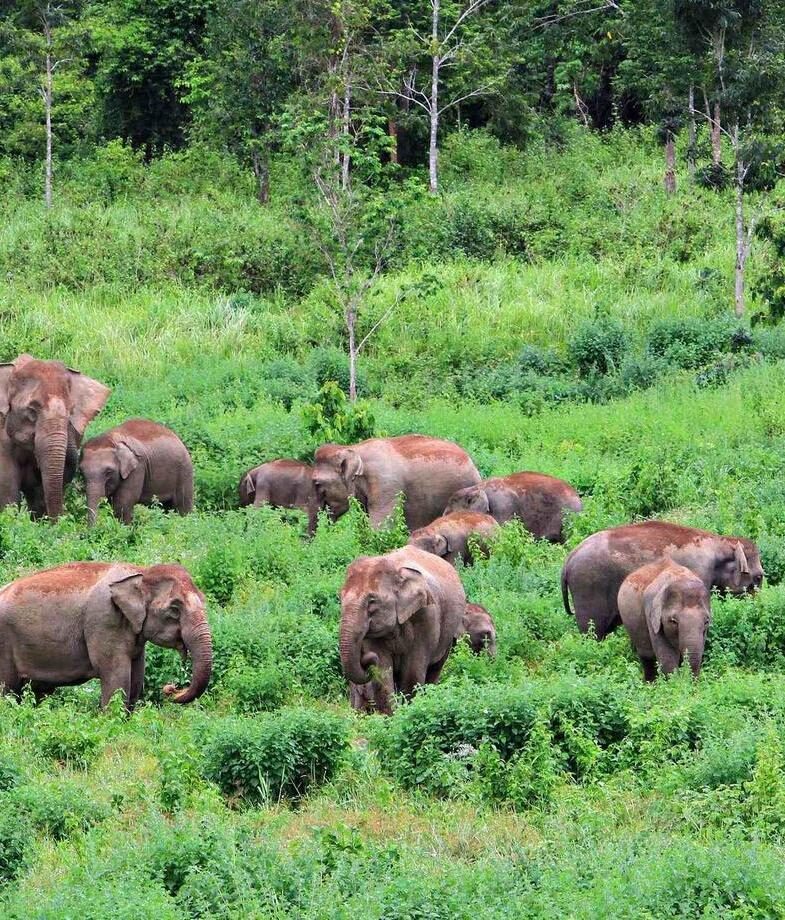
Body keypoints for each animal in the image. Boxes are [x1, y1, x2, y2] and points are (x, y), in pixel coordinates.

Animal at [0, 561, 212, 710]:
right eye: (175, 609)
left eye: (204, 601)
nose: (170, 688)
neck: (141, 571)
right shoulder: (105, 621)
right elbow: (116, 677)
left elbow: (136, 679)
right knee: (7, 689)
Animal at [340, 546, 465, 715]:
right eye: (340, 598)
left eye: (372, 601)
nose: (366, 658)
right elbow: (382, 670)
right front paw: (389, 716)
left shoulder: (426, 616)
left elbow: (413, 670)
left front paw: (409, 711)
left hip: (448, 633)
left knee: (435, 667)